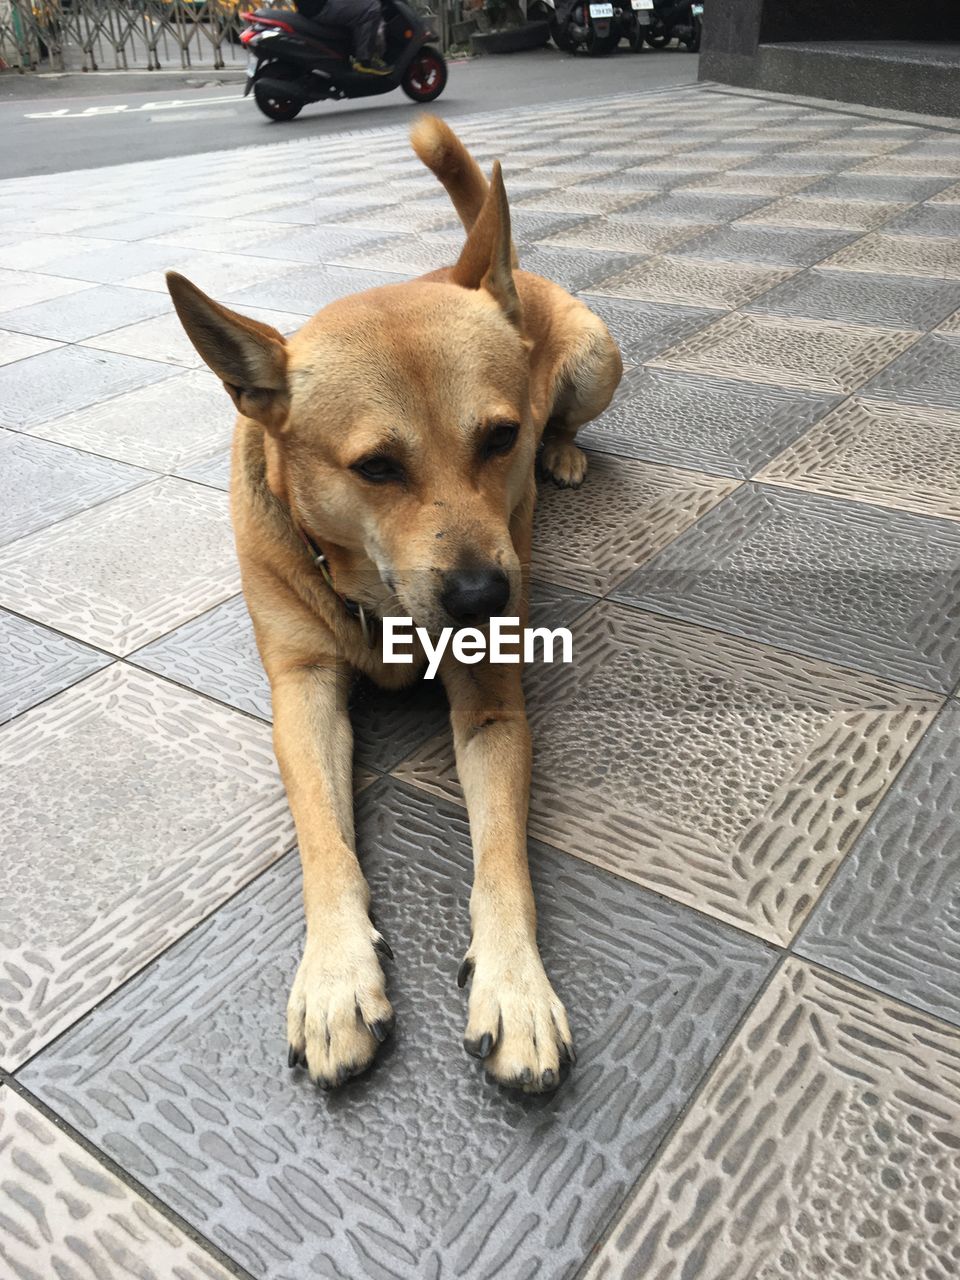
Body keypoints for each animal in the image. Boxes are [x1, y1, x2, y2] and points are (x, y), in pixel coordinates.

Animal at [167, 117, 624, 1090]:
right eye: (376, 467)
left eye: (499, 437)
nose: (486, 596)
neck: (377, 600)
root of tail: (482, 269)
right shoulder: (302, 692)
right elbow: (324, 841)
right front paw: (337, 973)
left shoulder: (494, 710)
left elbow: (504, 859)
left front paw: (516, 985)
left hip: (597, 359)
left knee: (575, 414)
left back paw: (564, 453)